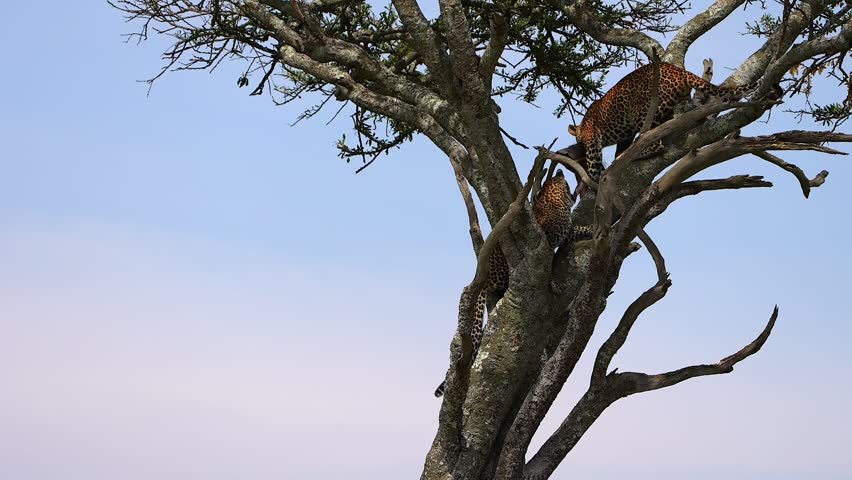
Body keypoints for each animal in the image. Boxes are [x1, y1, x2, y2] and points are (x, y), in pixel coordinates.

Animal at [434, 170, 592, 397]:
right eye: (561, 181)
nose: (560, 171)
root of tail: (481, 275)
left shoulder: (565, 231)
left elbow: (576, 229)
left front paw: (591, 228)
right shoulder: (547, 242)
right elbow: (551, 261)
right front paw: (553, 283)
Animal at [565, 62, 769, 184]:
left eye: (580, 141)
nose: (579, 145)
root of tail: (679, 71)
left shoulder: (593, 138)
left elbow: (593, 160)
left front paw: (595, 177)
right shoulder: (624, 135)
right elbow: (620, 145)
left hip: (645, 112)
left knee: (656, 144)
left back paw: (633, 154)